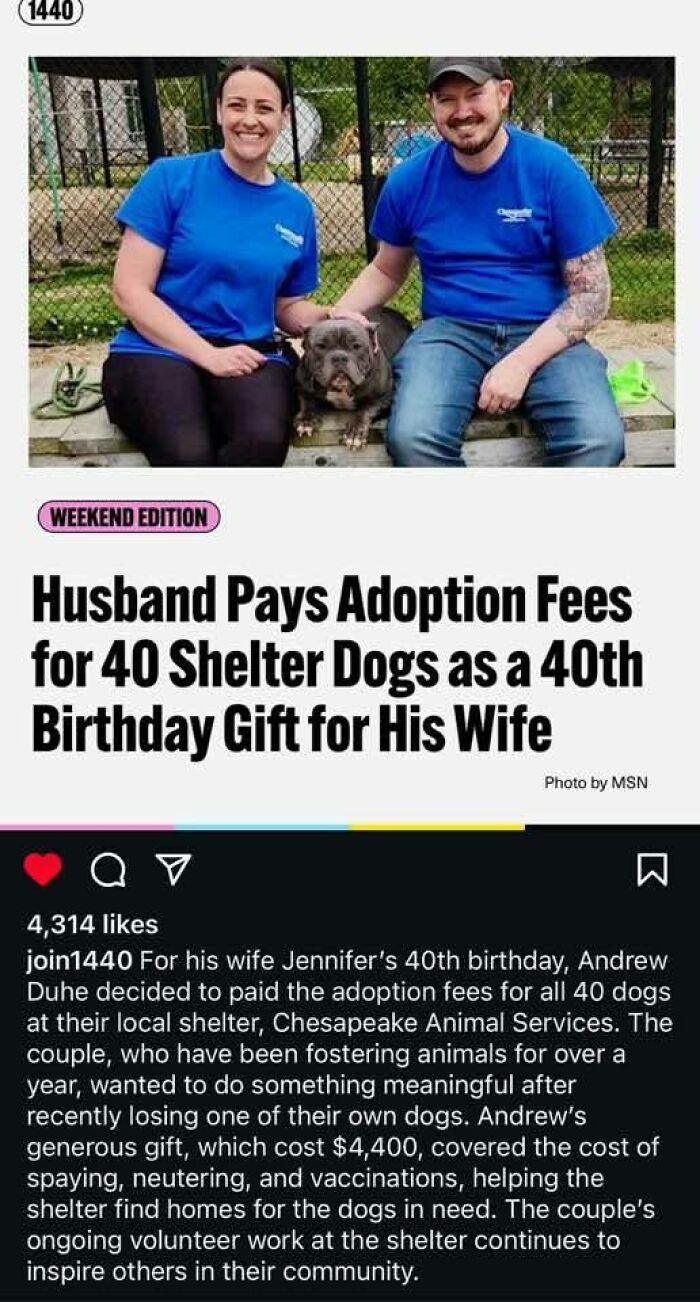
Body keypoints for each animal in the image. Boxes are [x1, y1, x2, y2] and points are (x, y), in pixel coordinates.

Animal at [292, 307, 408, 450]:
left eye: (356, 346)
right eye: (321, 346)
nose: (339, 357)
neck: (341, 389)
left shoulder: (385, 396)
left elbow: (367, 409)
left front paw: (355, 431)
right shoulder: (302, 387)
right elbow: (307, 402)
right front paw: (306, 420)